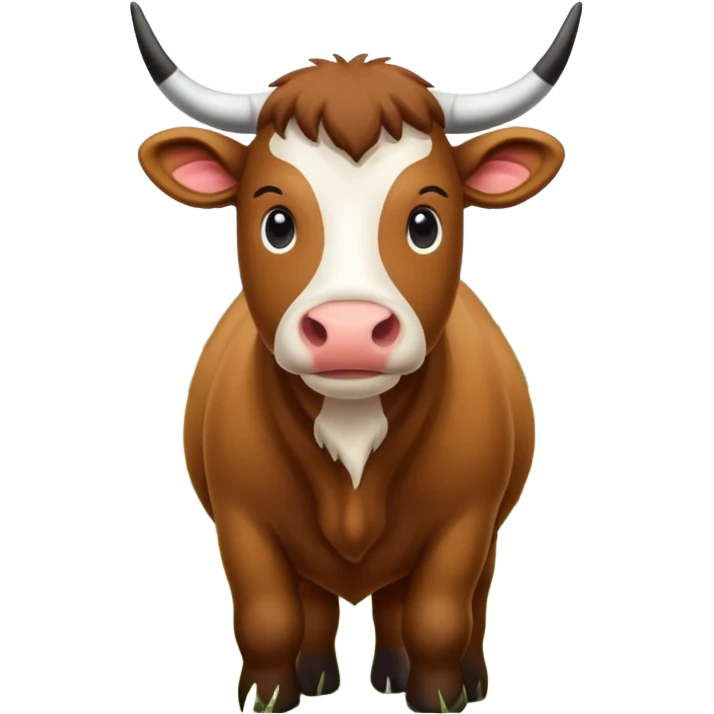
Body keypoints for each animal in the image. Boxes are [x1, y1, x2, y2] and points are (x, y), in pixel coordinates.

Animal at [131, 2, 581, 711]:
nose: (349, 328)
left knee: (443, 603)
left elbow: (437, 611)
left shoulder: (465, 518)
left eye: (424, 223)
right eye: (277, 223)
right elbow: (266, 613)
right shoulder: (240, 516)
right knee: (316, 607)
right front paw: (267, 696)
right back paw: (318, 675)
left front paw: (436, 697)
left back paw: (446, 677)